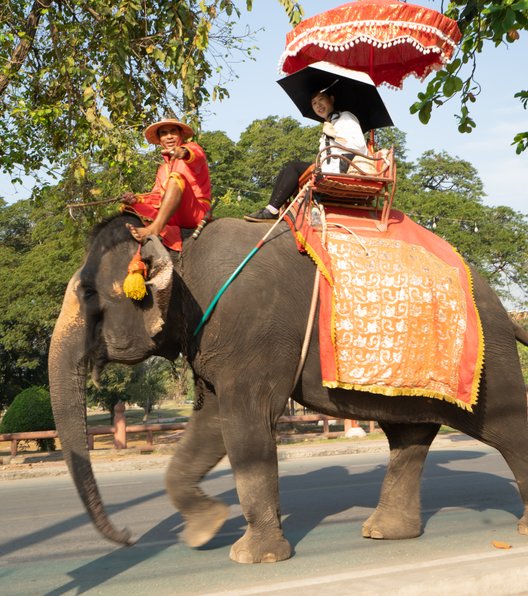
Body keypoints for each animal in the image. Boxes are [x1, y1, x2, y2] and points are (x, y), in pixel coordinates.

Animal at [48, 213, 528, 564]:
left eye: (88, 293)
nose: (129, 538)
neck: (181, 248)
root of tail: (504, 309)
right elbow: (210, 426)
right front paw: (205, 530)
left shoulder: (251, 332)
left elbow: (246, 422)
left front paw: (251, 557)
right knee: (408, 437)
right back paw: (383, 533)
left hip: (488, 361)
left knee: (506, 427)